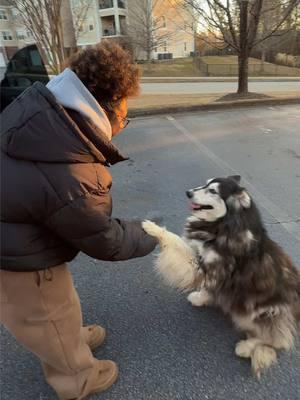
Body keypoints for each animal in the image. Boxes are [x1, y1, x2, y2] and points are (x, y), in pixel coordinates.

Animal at [144, 177, 300, 376]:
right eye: (205, 183)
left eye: (212, 191)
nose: (188, 193)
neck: (223, 225)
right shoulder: (211, 272)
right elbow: (208, 288)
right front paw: (202, 298)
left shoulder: (205, 268)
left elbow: (174, 240)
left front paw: (151, 227)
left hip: (261, 312)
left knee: (279, 340)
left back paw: (246, 347)